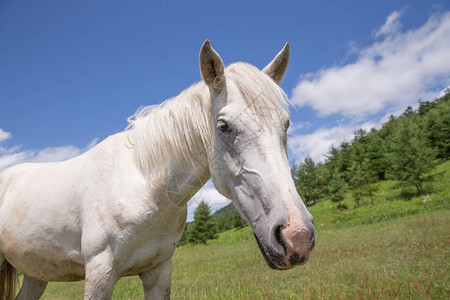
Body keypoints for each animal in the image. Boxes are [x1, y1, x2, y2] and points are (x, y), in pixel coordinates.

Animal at [0, 41, 314, 298]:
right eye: (224, 126)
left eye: (286, 124)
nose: (296, 236)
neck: (145, 189)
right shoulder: (99, 274)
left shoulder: (159, 272)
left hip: (36, 274)